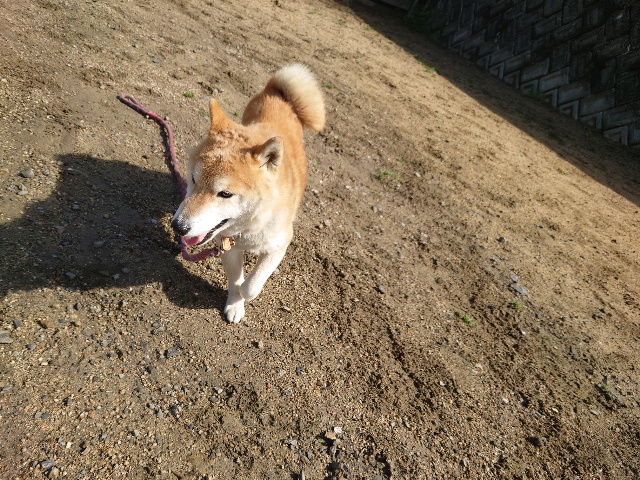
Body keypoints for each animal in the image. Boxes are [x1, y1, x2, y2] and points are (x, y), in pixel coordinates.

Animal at [171, 64, 325, 322]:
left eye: (225, 194)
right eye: (193, 179)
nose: (178, 226)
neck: (249, 229)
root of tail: (280, 94)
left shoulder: (280, 244)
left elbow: (251, 286)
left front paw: (244, 294)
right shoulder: (226, 245)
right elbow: (236, 282)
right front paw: (235, 305)